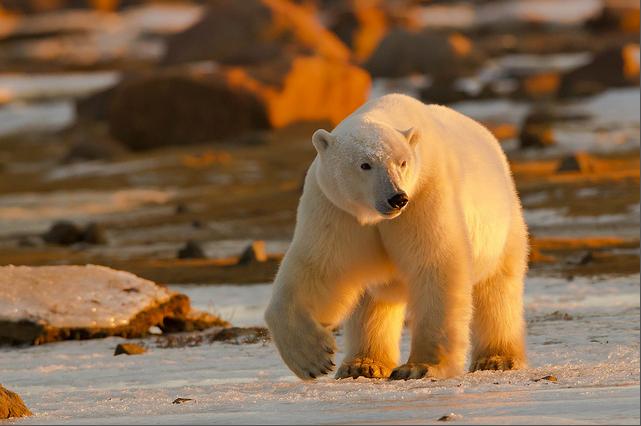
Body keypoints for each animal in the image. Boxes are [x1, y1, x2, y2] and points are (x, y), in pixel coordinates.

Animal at [262, 93, 528, 380]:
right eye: (365, 164)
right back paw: (362, 364)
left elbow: (435, 263)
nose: (397, 198)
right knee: (371, 304)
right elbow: (319, 266)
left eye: (402, 162)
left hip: (503, 225)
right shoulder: (335, 209)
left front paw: (420, 367)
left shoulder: (425, 194)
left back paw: (498, 358)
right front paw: (314, 359)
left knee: (497, 288)